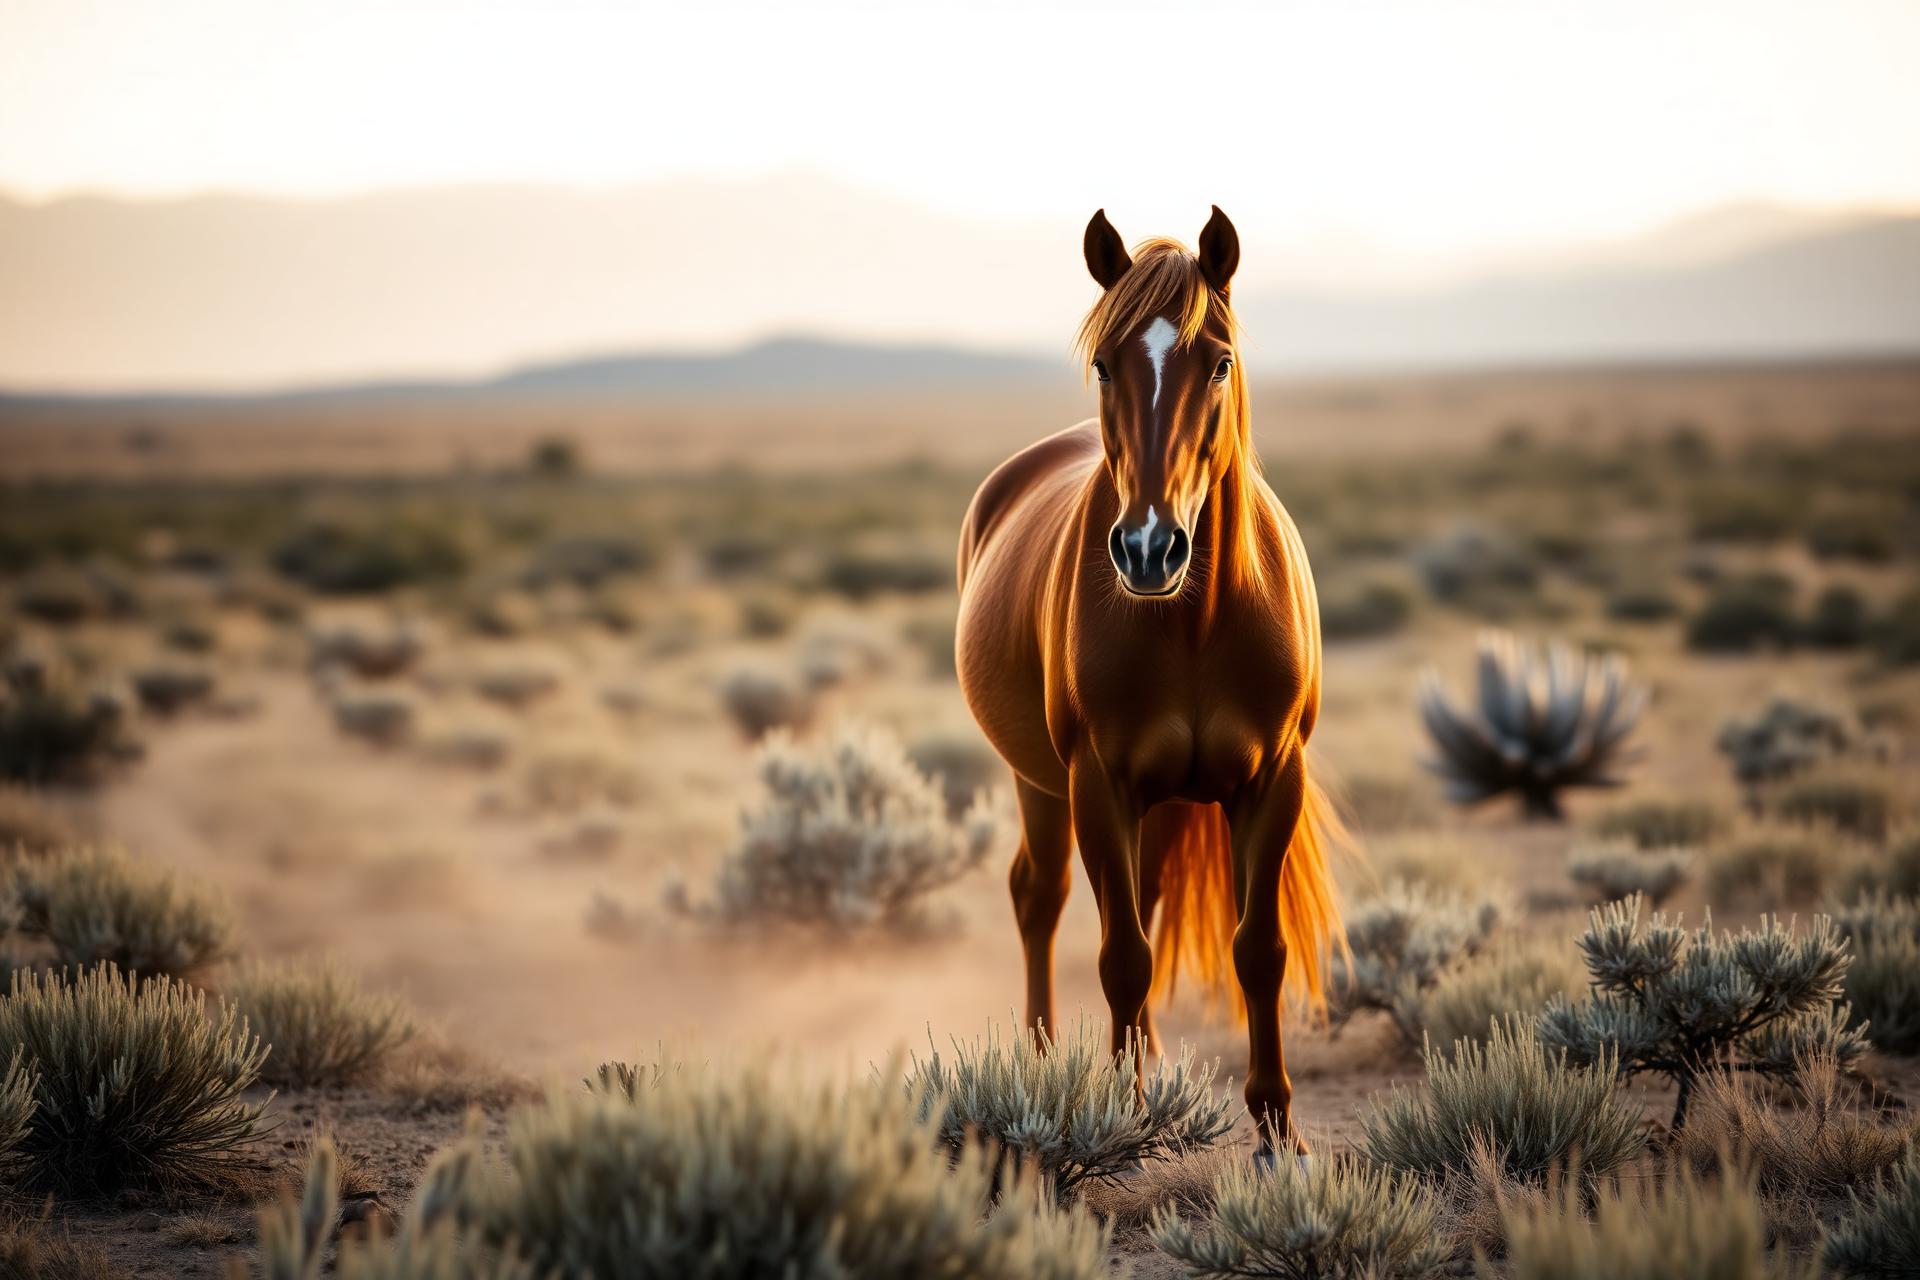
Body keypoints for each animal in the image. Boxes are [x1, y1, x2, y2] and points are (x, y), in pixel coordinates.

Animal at [954, 206, 1350, 1154]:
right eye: (1105, 362)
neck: (1195, 623)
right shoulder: (1096, 782)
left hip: (1163, 802)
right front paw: (1125, 1115)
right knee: (1041, 897)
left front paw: (1278, 1128)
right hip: (1042, 784)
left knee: (1147, 896)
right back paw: (1044, 1061)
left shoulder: (1271, 780)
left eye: (1221, 360)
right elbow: (1122, 954)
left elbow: (1258, 949)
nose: (1147, 548)